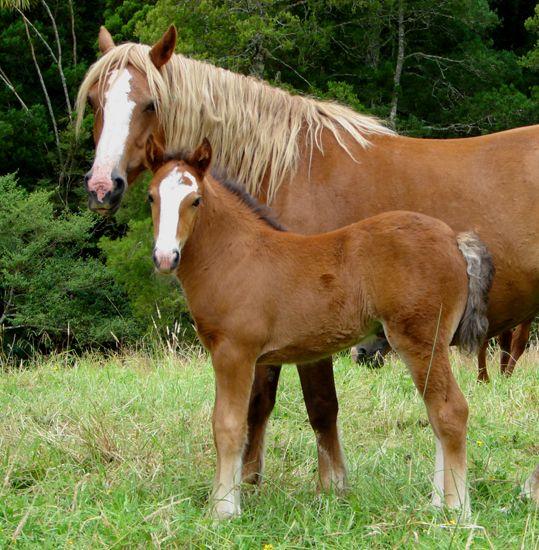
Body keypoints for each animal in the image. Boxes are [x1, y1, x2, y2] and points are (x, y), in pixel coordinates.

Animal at [147, 141, 494, 520]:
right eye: (151, 197)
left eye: (195, 200)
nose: (165, 257)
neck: (235, 255)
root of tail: (454, 239)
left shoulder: (234, 351)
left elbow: (227, 425)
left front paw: (223, 509)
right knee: (435, 411)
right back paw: (436, 503)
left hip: (420, 339)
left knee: (450, 411)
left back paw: (457, 511)